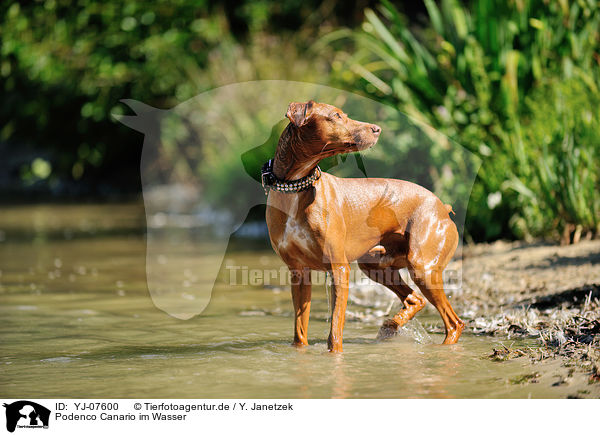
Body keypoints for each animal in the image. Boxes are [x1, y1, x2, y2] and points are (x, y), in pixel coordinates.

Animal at [262, 100, 464, 352]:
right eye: (336, 116)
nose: (377, 129)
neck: (296, 189)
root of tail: (442, 206)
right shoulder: (299, 272)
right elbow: (300, 334)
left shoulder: (339, 269)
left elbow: (335, 332)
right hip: (374, 264)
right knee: (415, 300)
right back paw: (391, 326)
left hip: (423, 267)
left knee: (454, 323)